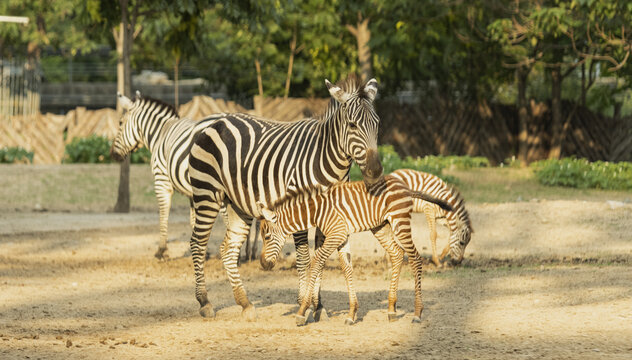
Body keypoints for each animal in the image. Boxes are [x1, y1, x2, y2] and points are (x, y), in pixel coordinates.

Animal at [109, 91, 227, 260]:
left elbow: (163, 213)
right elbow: (195, 220)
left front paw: (161, 250)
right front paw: (203, 252)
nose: (113, 154)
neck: (160, 133)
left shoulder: (161, 180)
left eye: (120, 123)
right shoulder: (193, 191)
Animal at [189, 77, 386, 320]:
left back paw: (245, 303)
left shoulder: (327, 213)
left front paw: (318, 306)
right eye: (352, 125)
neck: (327, 160)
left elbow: (320, 257)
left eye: (377, 124)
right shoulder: (300, 209)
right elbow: (304, 257)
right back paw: (205, 302)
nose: (375, 171)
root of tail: (215, 123)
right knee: (197, 243)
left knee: (228, 248)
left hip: (238, 205)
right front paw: (304, 304)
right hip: (206, 194)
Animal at [258, 174, 454, 326]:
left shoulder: (336, 234)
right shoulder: (341, 236)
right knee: (397, 254)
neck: (317, 211)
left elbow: (317, 262)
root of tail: (403, 185)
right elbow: (347, 269)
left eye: (266, 237)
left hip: (400, 223)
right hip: (380, 226)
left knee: (415, 258)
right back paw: (391, 310)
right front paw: (352, 313)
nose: (263, 264)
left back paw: (417, 313)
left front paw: (302, 311)